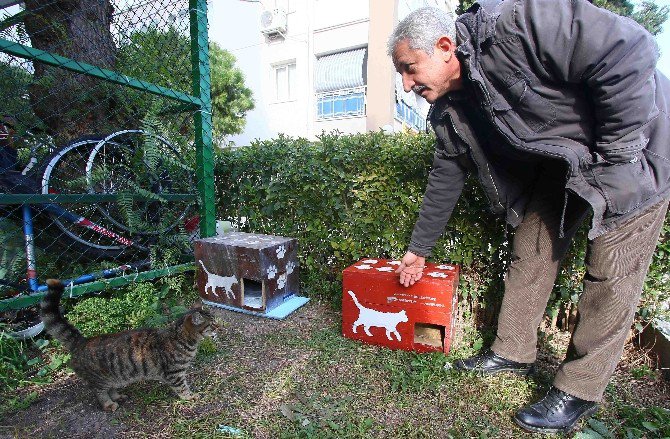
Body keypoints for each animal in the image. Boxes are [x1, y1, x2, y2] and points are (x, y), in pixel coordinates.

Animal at [39, 278, 217, 412]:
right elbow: (182, 388)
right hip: (100, 379)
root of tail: (82, 341)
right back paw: (109, 404)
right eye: (212, 324)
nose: (219, 328)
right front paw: (190, 396)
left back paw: (118, 396)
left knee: (110, 388)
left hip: (112, 376)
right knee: (99, 392)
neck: (179, 338)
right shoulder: (174, 374)